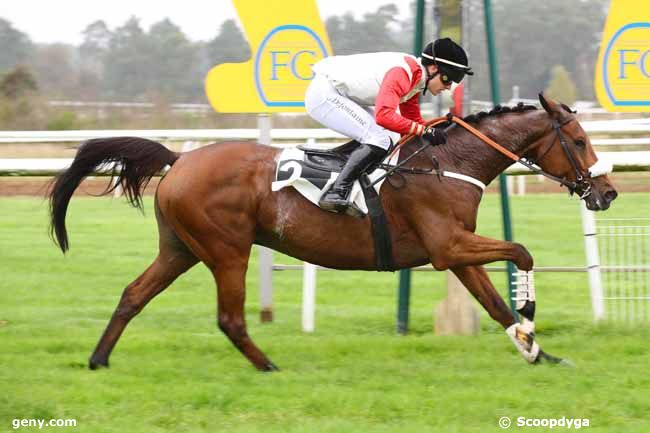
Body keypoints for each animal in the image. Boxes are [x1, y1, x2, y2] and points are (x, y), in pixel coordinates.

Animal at [48, 94, 616, 372]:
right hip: (226, 249)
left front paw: (537, 352)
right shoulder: (447, 246)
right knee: (230, 318)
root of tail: (180, 157)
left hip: (180, 249)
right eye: (579, 141)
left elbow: (494, 303)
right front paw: (531, 320)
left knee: (132, 295)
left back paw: (98, 359)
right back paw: (268, 366)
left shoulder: (453, 252)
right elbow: (522, 252)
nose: (607, 192)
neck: (447, 164)